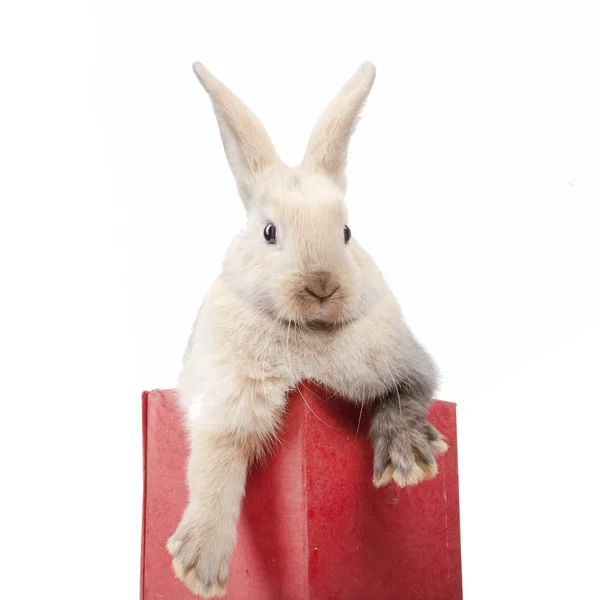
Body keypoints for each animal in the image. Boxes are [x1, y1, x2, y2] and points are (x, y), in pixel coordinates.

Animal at [166, 59, 448, 596]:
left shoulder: (404, 359)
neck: (310, 335)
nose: (322, 285)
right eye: (269, 232)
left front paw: (410, 462)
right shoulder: (227, 400)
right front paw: (196, 567)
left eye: (347, 232)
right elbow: (215, 467)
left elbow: (405, 397)